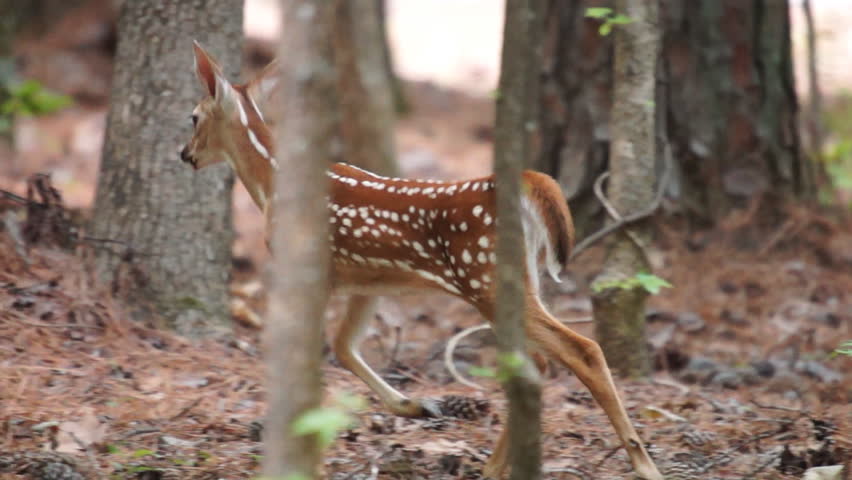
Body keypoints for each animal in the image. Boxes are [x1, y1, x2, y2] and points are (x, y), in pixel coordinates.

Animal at [180, 42, 664, 480]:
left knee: (580, 350)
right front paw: (416, 406)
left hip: (484, 279)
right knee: (538, 362)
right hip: (516, 280)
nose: (186, 155)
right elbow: (344, 346)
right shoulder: (366, 281)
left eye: (193, 116)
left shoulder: (311, 268)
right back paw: (495, 466)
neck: (272, 184)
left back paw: (643, 464)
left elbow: (316, 356)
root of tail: (526, 183)